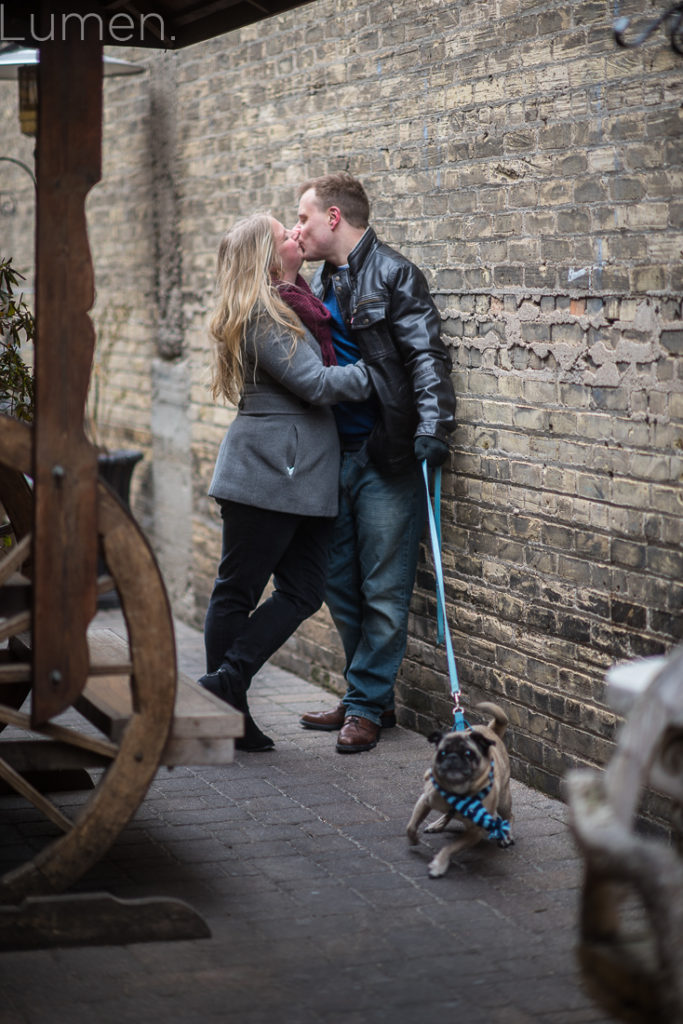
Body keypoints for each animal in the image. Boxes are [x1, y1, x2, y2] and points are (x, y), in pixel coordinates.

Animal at [405, 704, 511, 880]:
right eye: (442, 753)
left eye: (468, 754)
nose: (453, 757)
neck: (457, 792)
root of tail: (490, 730)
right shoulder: (425, 800)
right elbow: (411, 826)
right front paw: (413, 840)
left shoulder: (474, 832)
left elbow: (450, 847)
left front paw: (439, 864)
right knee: (448, 814)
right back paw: (438, 824)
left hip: (503, 799)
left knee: (509, 816)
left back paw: (506, 835)